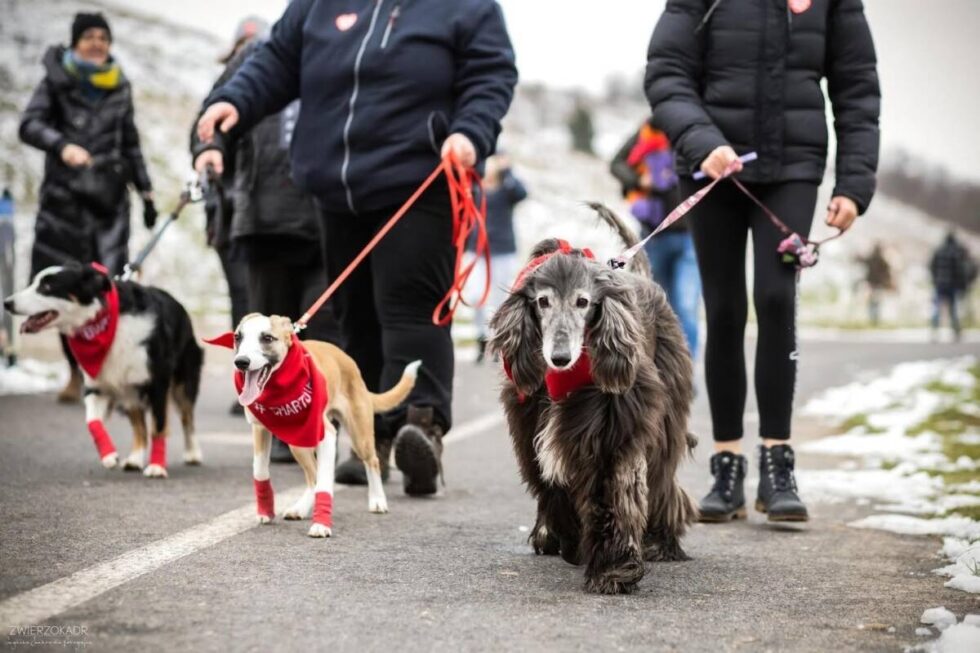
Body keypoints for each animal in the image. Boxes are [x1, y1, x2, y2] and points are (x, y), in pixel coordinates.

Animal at [490, 205, 696, 596]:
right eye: (542, 301)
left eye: (583, 302)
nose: (559, 357)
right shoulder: (531, 422)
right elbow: (551, 486)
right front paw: (571, 541)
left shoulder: (613, 426)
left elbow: (610, 489)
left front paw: (613, 569)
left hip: (666, 413)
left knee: (661, 474)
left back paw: (660, 541)